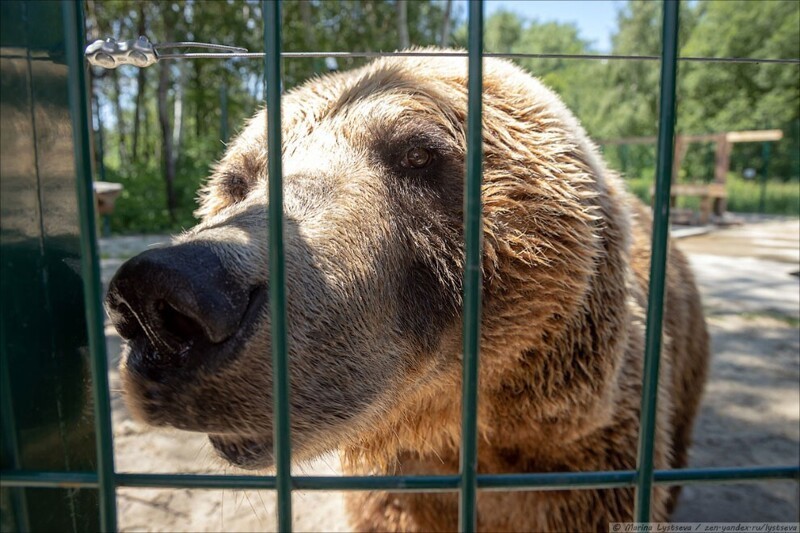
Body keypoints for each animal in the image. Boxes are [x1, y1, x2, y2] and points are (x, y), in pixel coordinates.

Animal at [104, 51, 708, 532]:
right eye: (236, 180)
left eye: (417, 154)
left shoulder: (582, 462)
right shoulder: (402, 486)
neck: (470, 433)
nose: (159, 299)